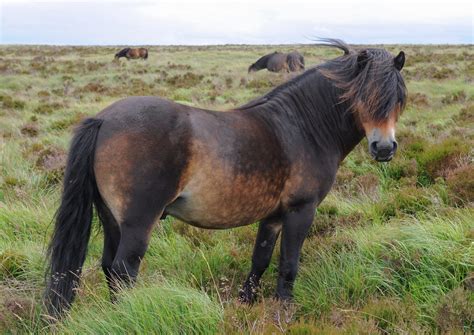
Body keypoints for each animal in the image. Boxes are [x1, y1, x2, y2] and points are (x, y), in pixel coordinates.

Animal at [45, 38, 408, 318]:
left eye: (398, 99)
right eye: (362, 96)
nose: (384, 148)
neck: (303, 127)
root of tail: (103, 120)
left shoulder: (273, 216)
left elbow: (261, 260)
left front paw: (246, 302)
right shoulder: (300, 211)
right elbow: (288, 264)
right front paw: (284, 312)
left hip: (111, 220)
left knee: (109, 266)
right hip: (137, 223)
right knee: (123, 271)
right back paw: (125, 316)